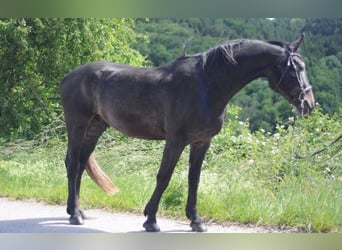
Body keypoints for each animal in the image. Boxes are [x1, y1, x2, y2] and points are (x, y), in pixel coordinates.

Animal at [60, 34, 314, 231]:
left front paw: (196, 220)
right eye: (296, 69)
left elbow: (194, 179)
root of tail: (69, 76)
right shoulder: (175, 141)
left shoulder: (201, 142)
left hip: (95, 127)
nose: (310, 104)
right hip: (78, 125)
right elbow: (164, 177)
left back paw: (77, 211)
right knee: (72, 163)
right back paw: (75, 215)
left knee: (80, 164)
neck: (206, 86)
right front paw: (151, 219)